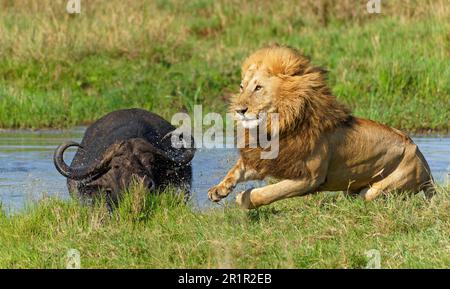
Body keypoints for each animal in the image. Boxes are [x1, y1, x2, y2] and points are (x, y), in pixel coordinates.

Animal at [207, 44, 436, 207]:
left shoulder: (309, 178)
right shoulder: (266, 159)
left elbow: (268, 193)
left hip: (383, 187)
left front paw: (243, 199)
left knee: (372, 196)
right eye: (242, 87)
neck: (276, 124)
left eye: (258, 88)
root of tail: (425, 165)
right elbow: (237, 169)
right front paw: (219, 190)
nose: (240, 110)